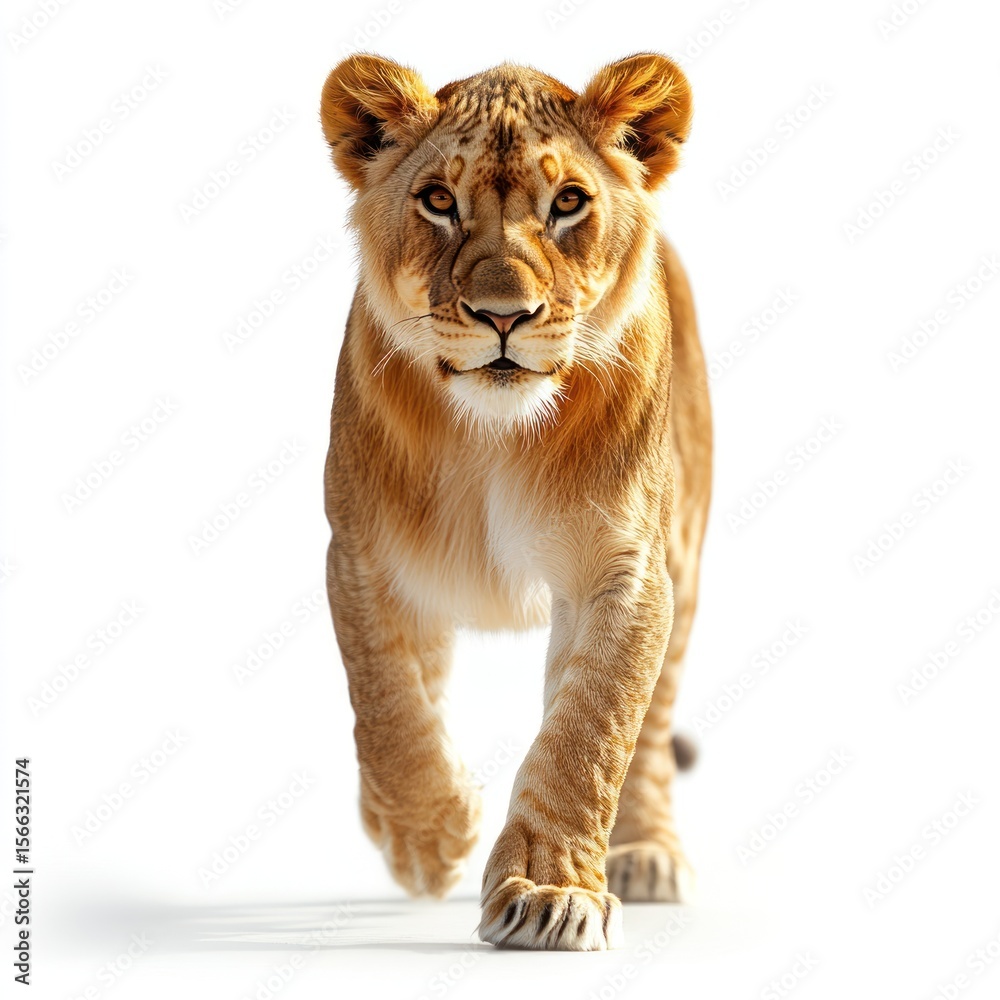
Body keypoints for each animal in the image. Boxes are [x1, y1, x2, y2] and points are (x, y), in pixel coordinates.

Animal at [320, 52, 712, 951]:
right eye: (438, 200)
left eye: (567, 202)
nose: (505, 316)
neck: (495, 437)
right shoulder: (360, 555)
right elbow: (385, 698)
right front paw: (428, 834)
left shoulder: (627, 569)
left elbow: (591, 730)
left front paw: (548, 891)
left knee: (652, 723)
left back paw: (645, 852)